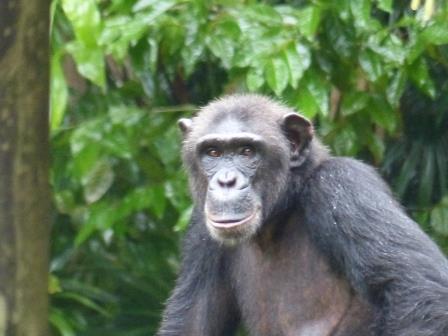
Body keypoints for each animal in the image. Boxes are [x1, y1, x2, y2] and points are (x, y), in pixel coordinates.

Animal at [157, 93, 448, 334]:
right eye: (213, 152)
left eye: (247, 151)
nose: (226, 181)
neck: (281, 213)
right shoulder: (200, 231)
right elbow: (192, 324)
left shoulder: (344, 187)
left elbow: (417, 292)